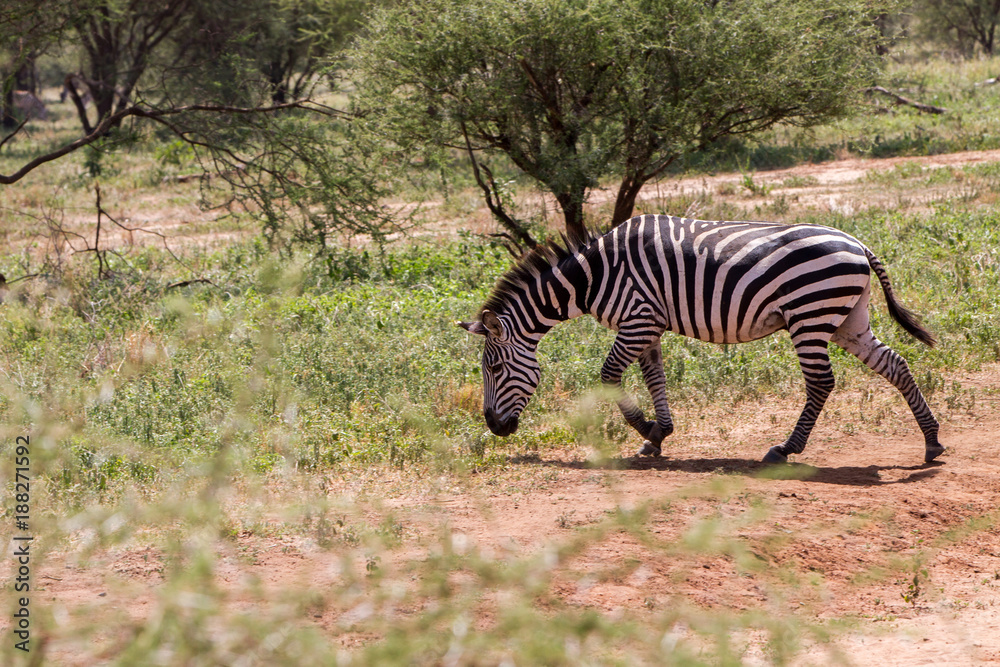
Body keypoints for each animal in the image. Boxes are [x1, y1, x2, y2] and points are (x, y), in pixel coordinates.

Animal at [458, 214, 945, 464]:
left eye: (494, 368)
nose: (495, 428)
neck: (595, 276)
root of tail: (859, 244)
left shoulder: (637, 318)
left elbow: (609, 374)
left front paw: (646, 428)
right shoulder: (648, 324)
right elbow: (654, 377)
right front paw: (659, 435)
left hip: (808, 315)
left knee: (821, 383)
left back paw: (786, 449)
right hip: (848, 319)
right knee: (895, 364)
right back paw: (932, 441)